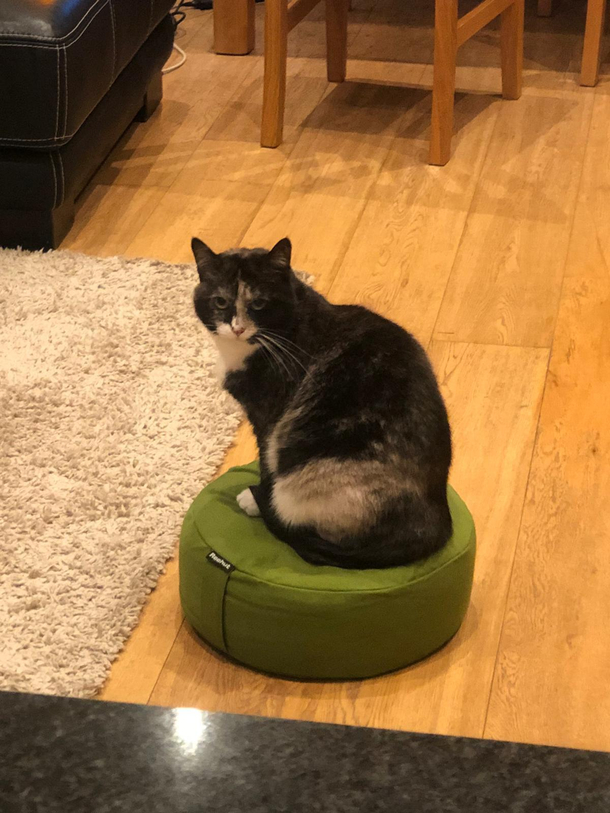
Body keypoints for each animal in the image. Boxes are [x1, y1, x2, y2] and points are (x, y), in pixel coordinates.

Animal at [191, 233, 452, 564]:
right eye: (221, 302)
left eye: (259, 303)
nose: (237, 328)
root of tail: (437, 523)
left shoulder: (269, 421)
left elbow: (266, 463)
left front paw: (254, 497)